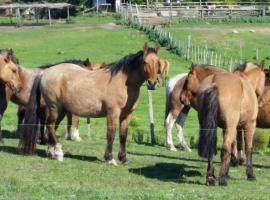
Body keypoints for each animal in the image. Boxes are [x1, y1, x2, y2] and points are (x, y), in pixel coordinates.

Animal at [20, 43, 160, 165]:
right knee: (50, 126)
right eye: (145, 62)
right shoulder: (113, 113)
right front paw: (110, 159)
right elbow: (111, 134)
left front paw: (124, 159)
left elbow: (123, 136)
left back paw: (52, 152)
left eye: (158, 62)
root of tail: (45, 72)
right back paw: (58, 153)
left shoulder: (127, 115)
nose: (152, 83)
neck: (123, 82)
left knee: (52, 127)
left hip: (62, 110)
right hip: (55, 108)